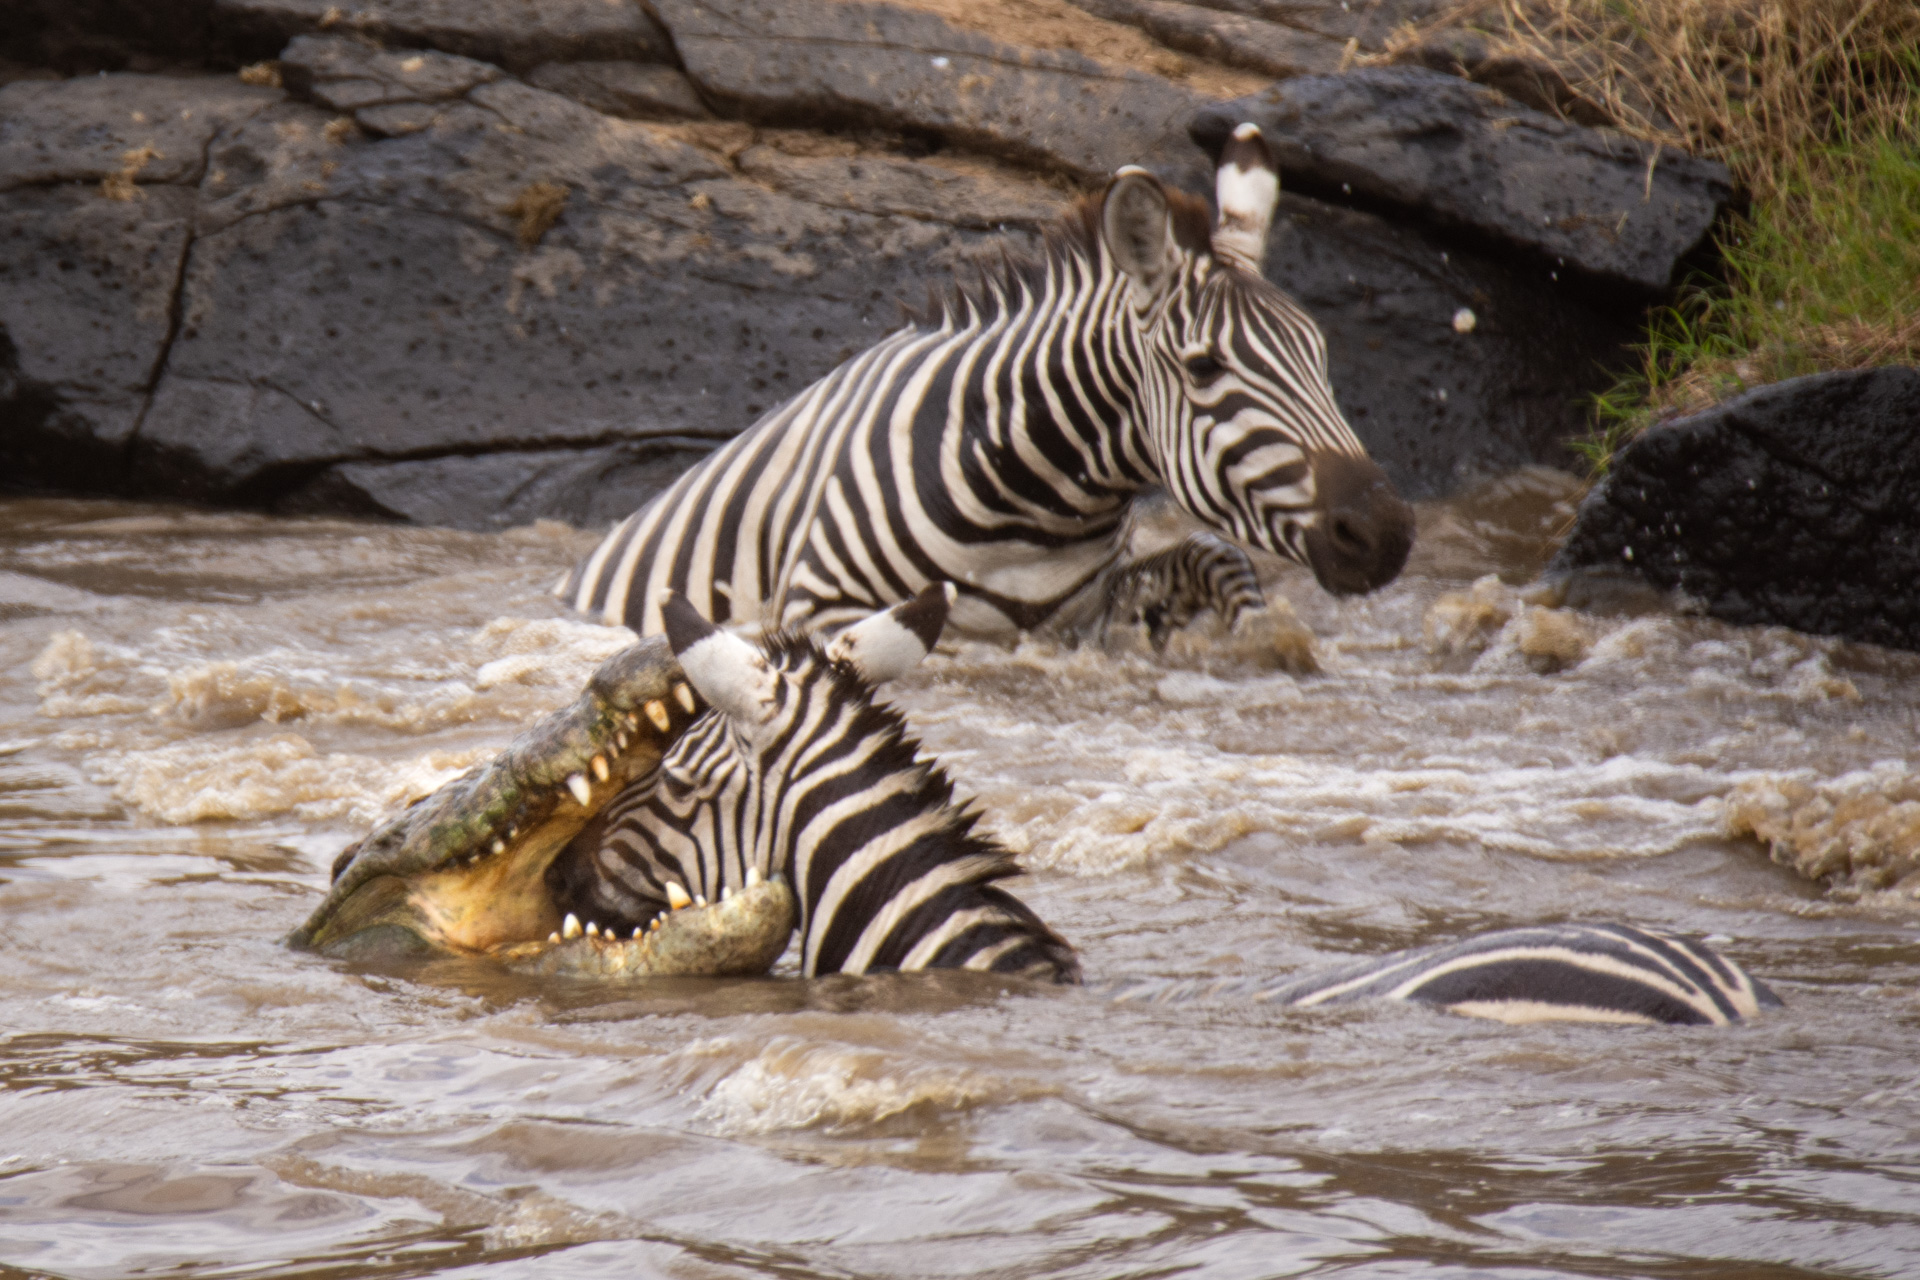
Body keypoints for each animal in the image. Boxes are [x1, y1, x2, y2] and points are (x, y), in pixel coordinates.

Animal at [556, 123, 1413, 644]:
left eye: (1320, 356)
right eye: (1205, 366)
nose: (1386, 533)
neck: (1034, 511)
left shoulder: (1084, 618)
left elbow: (1218, 558)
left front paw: (1257, 638)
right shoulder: (817, 606)